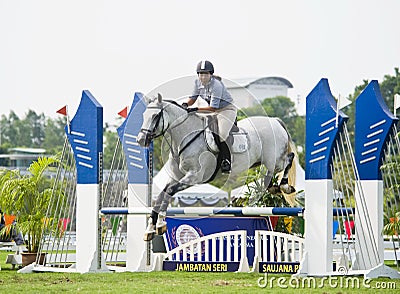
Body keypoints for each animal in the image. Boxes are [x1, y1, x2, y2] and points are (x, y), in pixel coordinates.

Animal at [138, 94, 296, 241]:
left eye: (155, 116)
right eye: (144, 115)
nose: (141, 140)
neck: (185, 137)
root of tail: (275, 121)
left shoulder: (194, 176)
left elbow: (169, 191)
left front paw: (160, 223)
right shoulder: (176, 177)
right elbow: (161, 195)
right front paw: (151, 229)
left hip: (275, 160)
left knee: (289, 157)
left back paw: (285, 186)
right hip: (265, 161)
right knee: (269, 175)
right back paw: (271, 188)